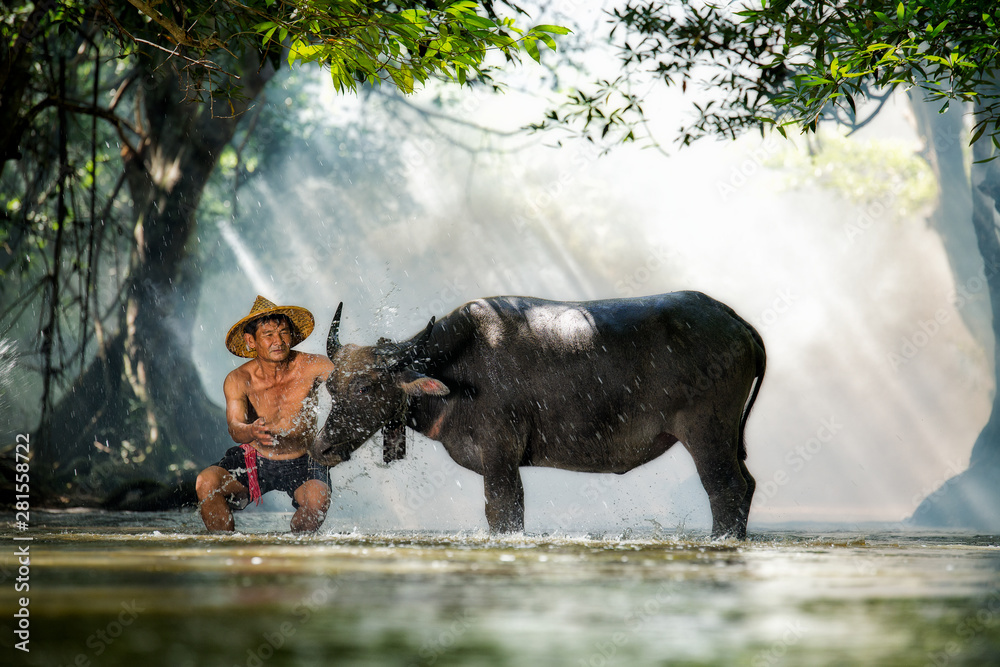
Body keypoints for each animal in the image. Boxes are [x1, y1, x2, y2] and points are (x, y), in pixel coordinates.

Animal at [312, 292, 764, 536]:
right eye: (331, 387)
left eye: (367, 386)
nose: (323, 448)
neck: (458, 367)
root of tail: (733, 320)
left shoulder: (500, 457)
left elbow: (503, 512)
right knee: (747, 486)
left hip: (707, 433)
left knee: (726, 490)